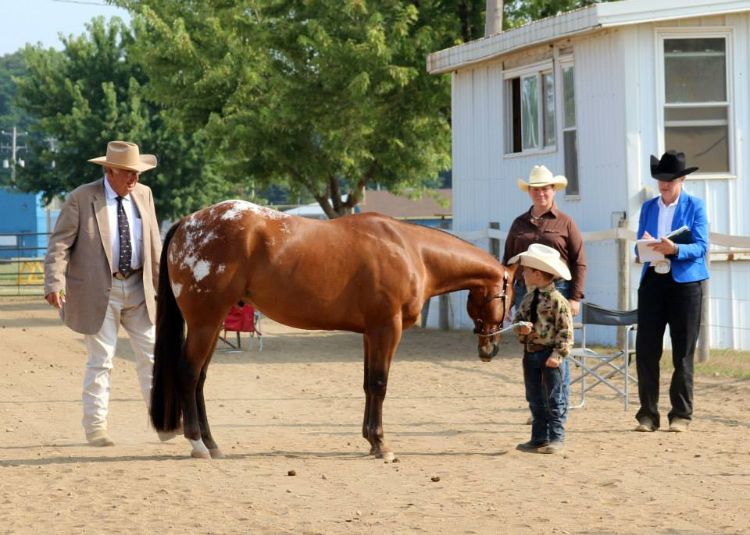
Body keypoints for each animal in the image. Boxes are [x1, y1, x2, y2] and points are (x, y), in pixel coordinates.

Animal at [153, 201, 516, 460]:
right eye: (509, 296)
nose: (490, 349)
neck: (411, 251)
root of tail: (188, 223)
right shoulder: (388, 328)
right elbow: (380, 384)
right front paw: (381, 445)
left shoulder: (371, 332)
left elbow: (369, 385)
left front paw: (370, 439)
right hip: (205, 321)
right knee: (188, 373)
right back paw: (198, 445)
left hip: (213, 323)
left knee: (200, 379)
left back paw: (212, 443)